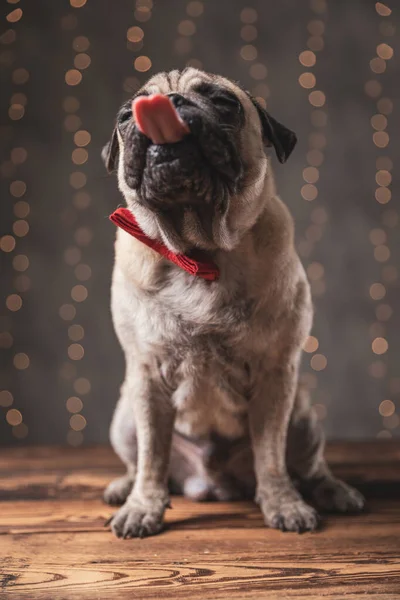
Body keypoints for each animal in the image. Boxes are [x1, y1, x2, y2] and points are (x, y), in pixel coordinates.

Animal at [101, 69, 364, 540]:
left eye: (224, 104)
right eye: (125, 116)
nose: (171, 102)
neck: (200, 252)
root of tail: (210, 483)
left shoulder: (276, 375)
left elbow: (271, 456)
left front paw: (283, 504)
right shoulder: (146, 378)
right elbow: (152, 457)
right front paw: (143, 507)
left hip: (304, 419)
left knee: (308, 467)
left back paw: (334, 491)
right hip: (125, 417)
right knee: (143, 460)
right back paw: (124, 489)